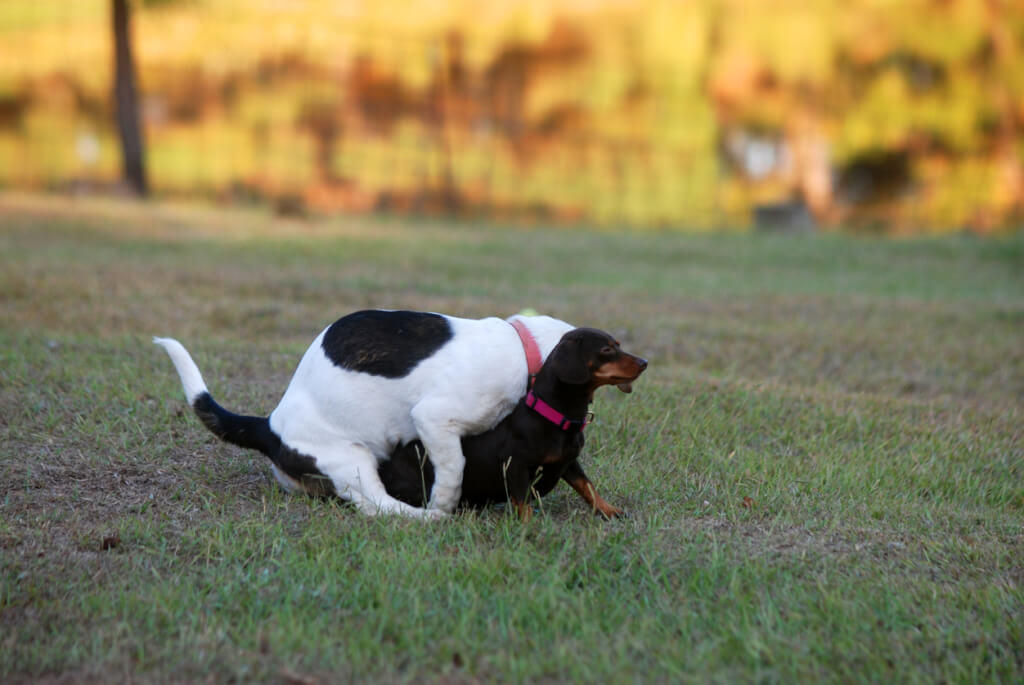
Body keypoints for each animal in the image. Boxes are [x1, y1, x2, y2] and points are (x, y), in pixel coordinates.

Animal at [155, 307, 598, 516]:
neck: (522, 347)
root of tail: (271, 428)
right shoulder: (434, 419)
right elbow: (453, 469)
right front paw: (444, 503)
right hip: (352, 460)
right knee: (377, 507)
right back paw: (428, 519)